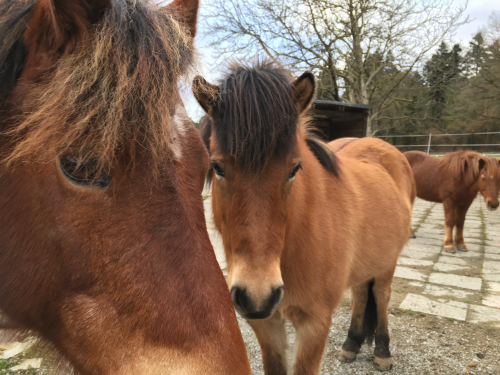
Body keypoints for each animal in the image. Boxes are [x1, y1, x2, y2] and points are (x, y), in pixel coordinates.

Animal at [193, 60, 416, 374]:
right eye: (217, 167)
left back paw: (382, 350)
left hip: (388, 262)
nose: (258, 296)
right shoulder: (266, 324)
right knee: (361, 292)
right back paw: (351, 344)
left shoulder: (314, 324)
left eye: (294, 168)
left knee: (382, 295)